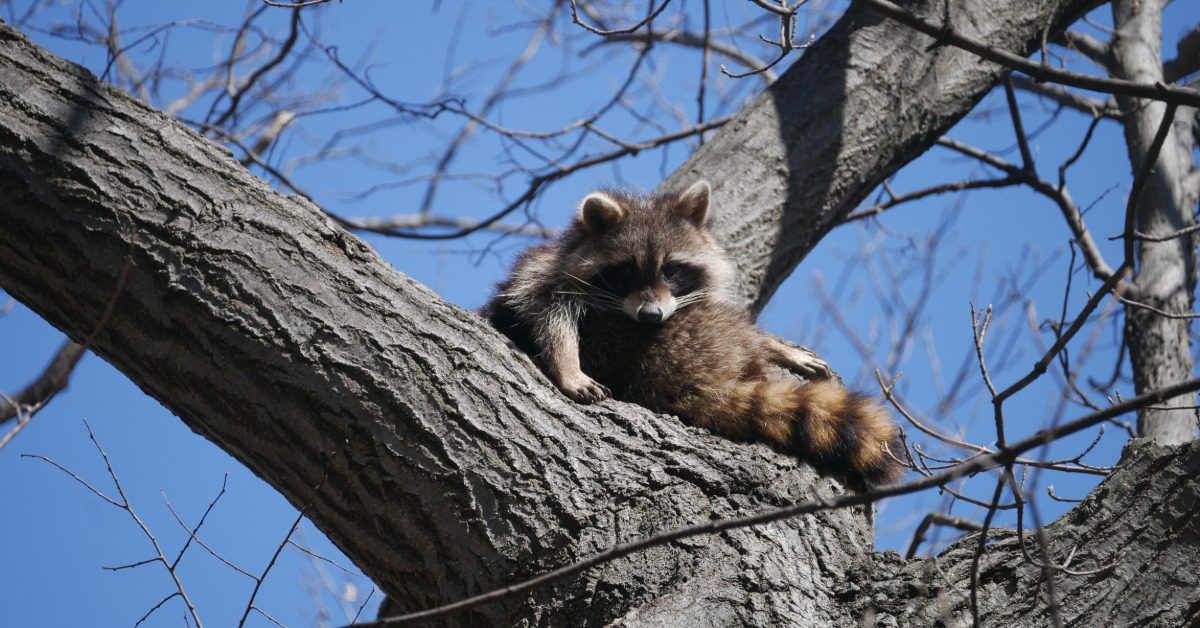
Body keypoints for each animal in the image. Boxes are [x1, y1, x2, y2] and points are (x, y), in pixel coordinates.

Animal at [483, 181, 901, 483]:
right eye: (627, 271)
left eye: (671, 270)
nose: (651, 316)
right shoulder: (545, 275)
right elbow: (548, 315)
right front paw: (567, 364)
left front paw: (779, 346)